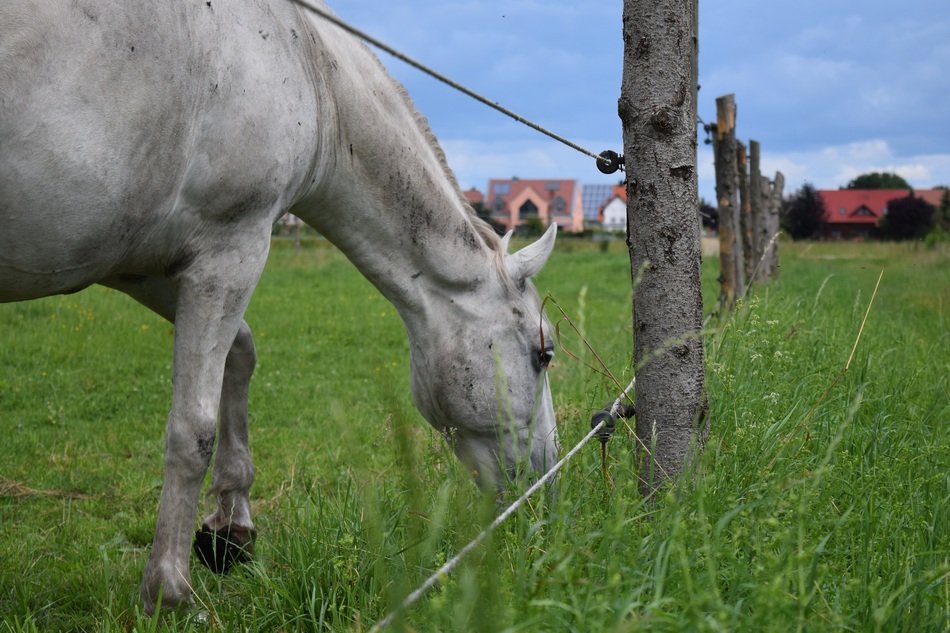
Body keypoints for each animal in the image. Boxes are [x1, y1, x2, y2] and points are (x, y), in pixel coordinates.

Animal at [0, 0, 560, 613]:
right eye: (545, 353)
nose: (546, 483)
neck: (310, 71)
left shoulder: (143, 268)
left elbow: (240, 354)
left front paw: (230, 529)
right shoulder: (232, 249)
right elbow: (192, 427)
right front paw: (168, 590)